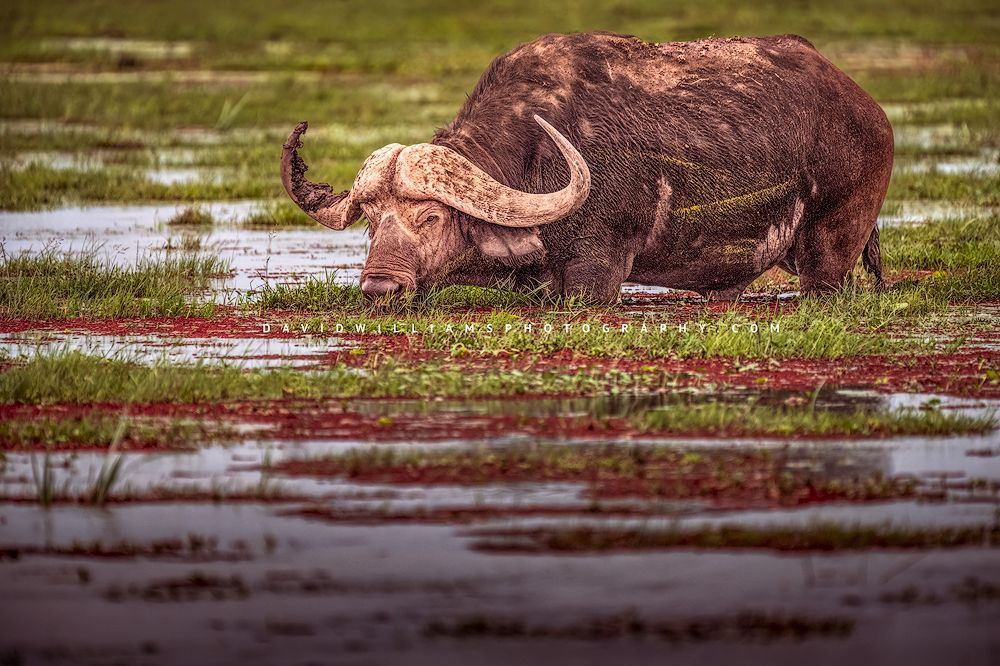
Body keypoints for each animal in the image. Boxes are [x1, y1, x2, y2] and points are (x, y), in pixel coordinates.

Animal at [281, 31, 893, 304]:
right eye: (371, 221)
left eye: (430, 217)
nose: (379, 285)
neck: (534, 159)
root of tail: (869, 110)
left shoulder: (597, 272)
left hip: (830, 249)